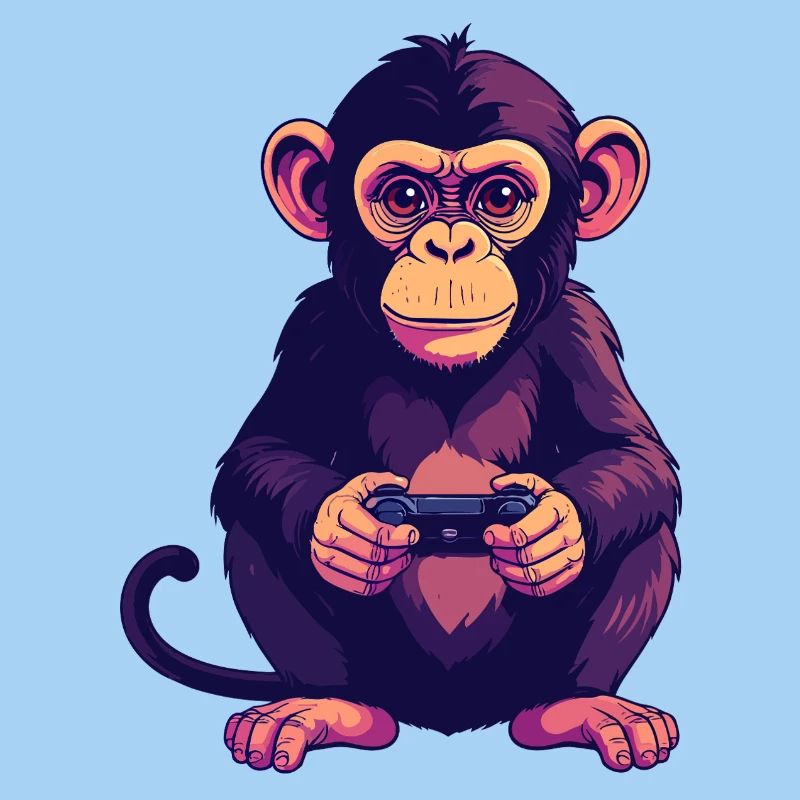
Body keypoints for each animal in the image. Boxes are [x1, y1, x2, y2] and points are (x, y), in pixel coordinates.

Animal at [121, 29, 681, 774]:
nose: (449, 245)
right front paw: (344, 526)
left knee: (646, 532)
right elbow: (264, 450)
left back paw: (576, 706)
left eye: (499, 198)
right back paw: (328, 706)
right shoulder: (316, 327)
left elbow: (632, 455)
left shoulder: (580, 328)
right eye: (406, 196)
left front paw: (551, 528)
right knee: (256, 530)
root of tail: (450, 719)